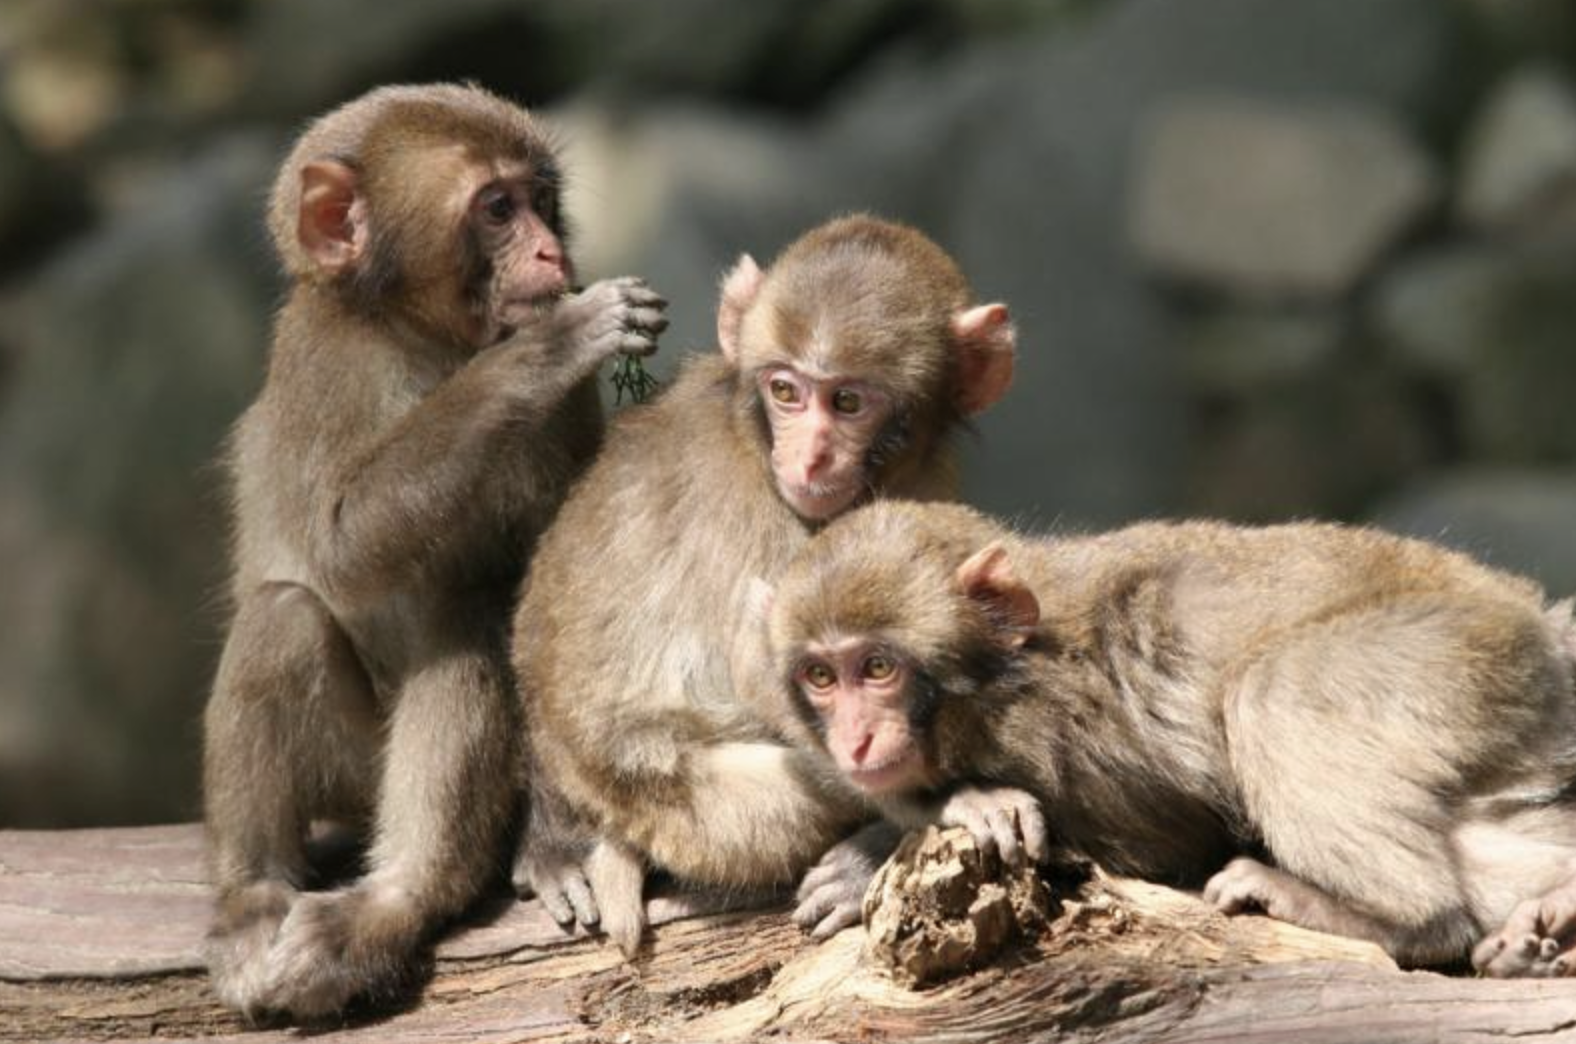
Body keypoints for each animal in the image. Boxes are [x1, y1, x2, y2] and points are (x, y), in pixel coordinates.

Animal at [201, 85, 665, 1028]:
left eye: (542, 199)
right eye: (497, 210)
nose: (552, 250)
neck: (425, 339)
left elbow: (554, 598)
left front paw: (560, 844)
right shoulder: (322, 364)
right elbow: (340, 547)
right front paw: (550, 344)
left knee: (467, 619)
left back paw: (400, 897)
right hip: (351, 768)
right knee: (286, 616)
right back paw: (261, 895)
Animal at [510, 216, 1014, 958]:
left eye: (848, 401)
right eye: (786, 392)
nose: (809, 456)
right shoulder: (765, 514)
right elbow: (771, 673)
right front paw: (952, 802)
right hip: (695, 816)